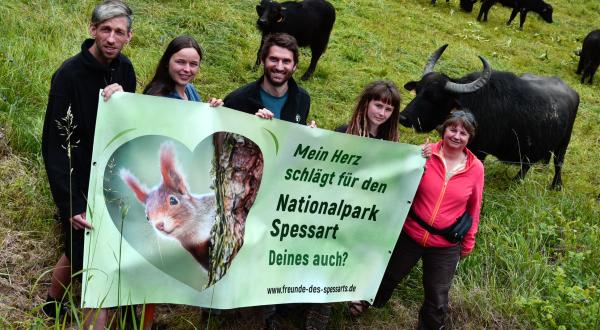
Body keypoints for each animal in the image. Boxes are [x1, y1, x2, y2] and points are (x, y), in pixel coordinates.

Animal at [400, 44, 580, 188]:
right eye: (418, 90)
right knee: (527, 164)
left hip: (564, 142)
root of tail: (573, 92)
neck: (472, 105)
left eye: (434, 98)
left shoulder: (480, 152)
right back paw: (516, 181)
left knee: (558, 163)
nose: (403, 118)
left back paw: (556, 186)